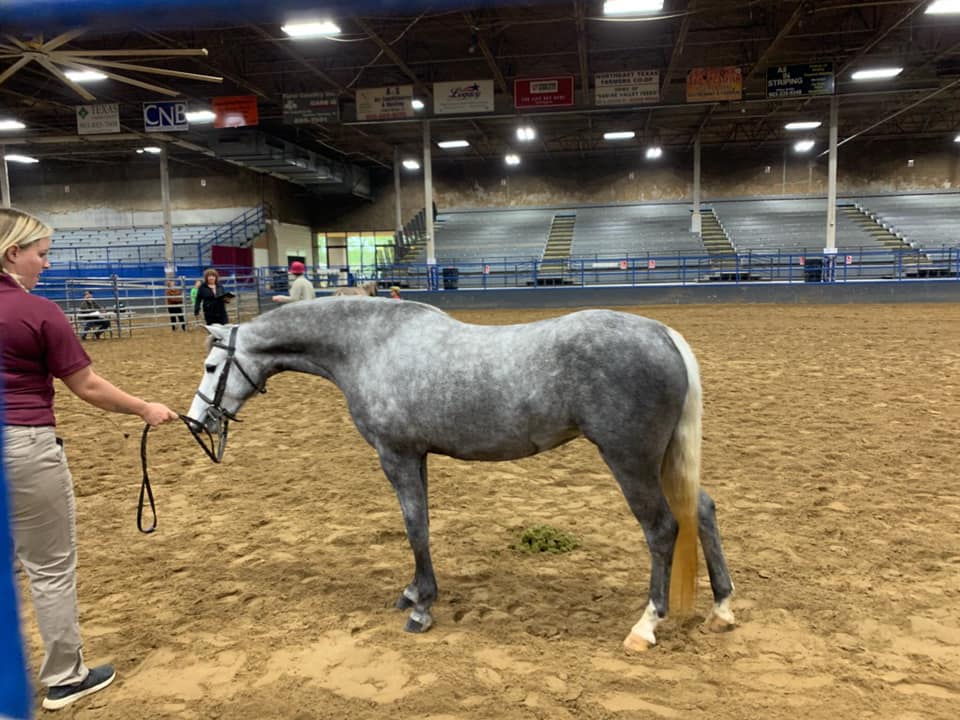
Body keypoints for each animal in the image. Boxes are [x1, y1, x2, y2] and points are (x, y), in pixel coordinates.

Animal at [186, 297, 735, 650]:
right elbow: (422, 523)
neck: (370, 345)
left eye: (212, 367)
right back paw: (722, 609)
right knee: (703, 510)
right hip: (664, 458)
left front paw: (421, 608)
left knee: (662, 529)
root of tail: (661, 333)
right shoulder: (417, 456)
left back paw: (646, 626)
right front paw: (413, 592)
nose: (196, 422)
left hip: (631, 460)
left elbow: (415, 526)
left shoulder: (397, 454)